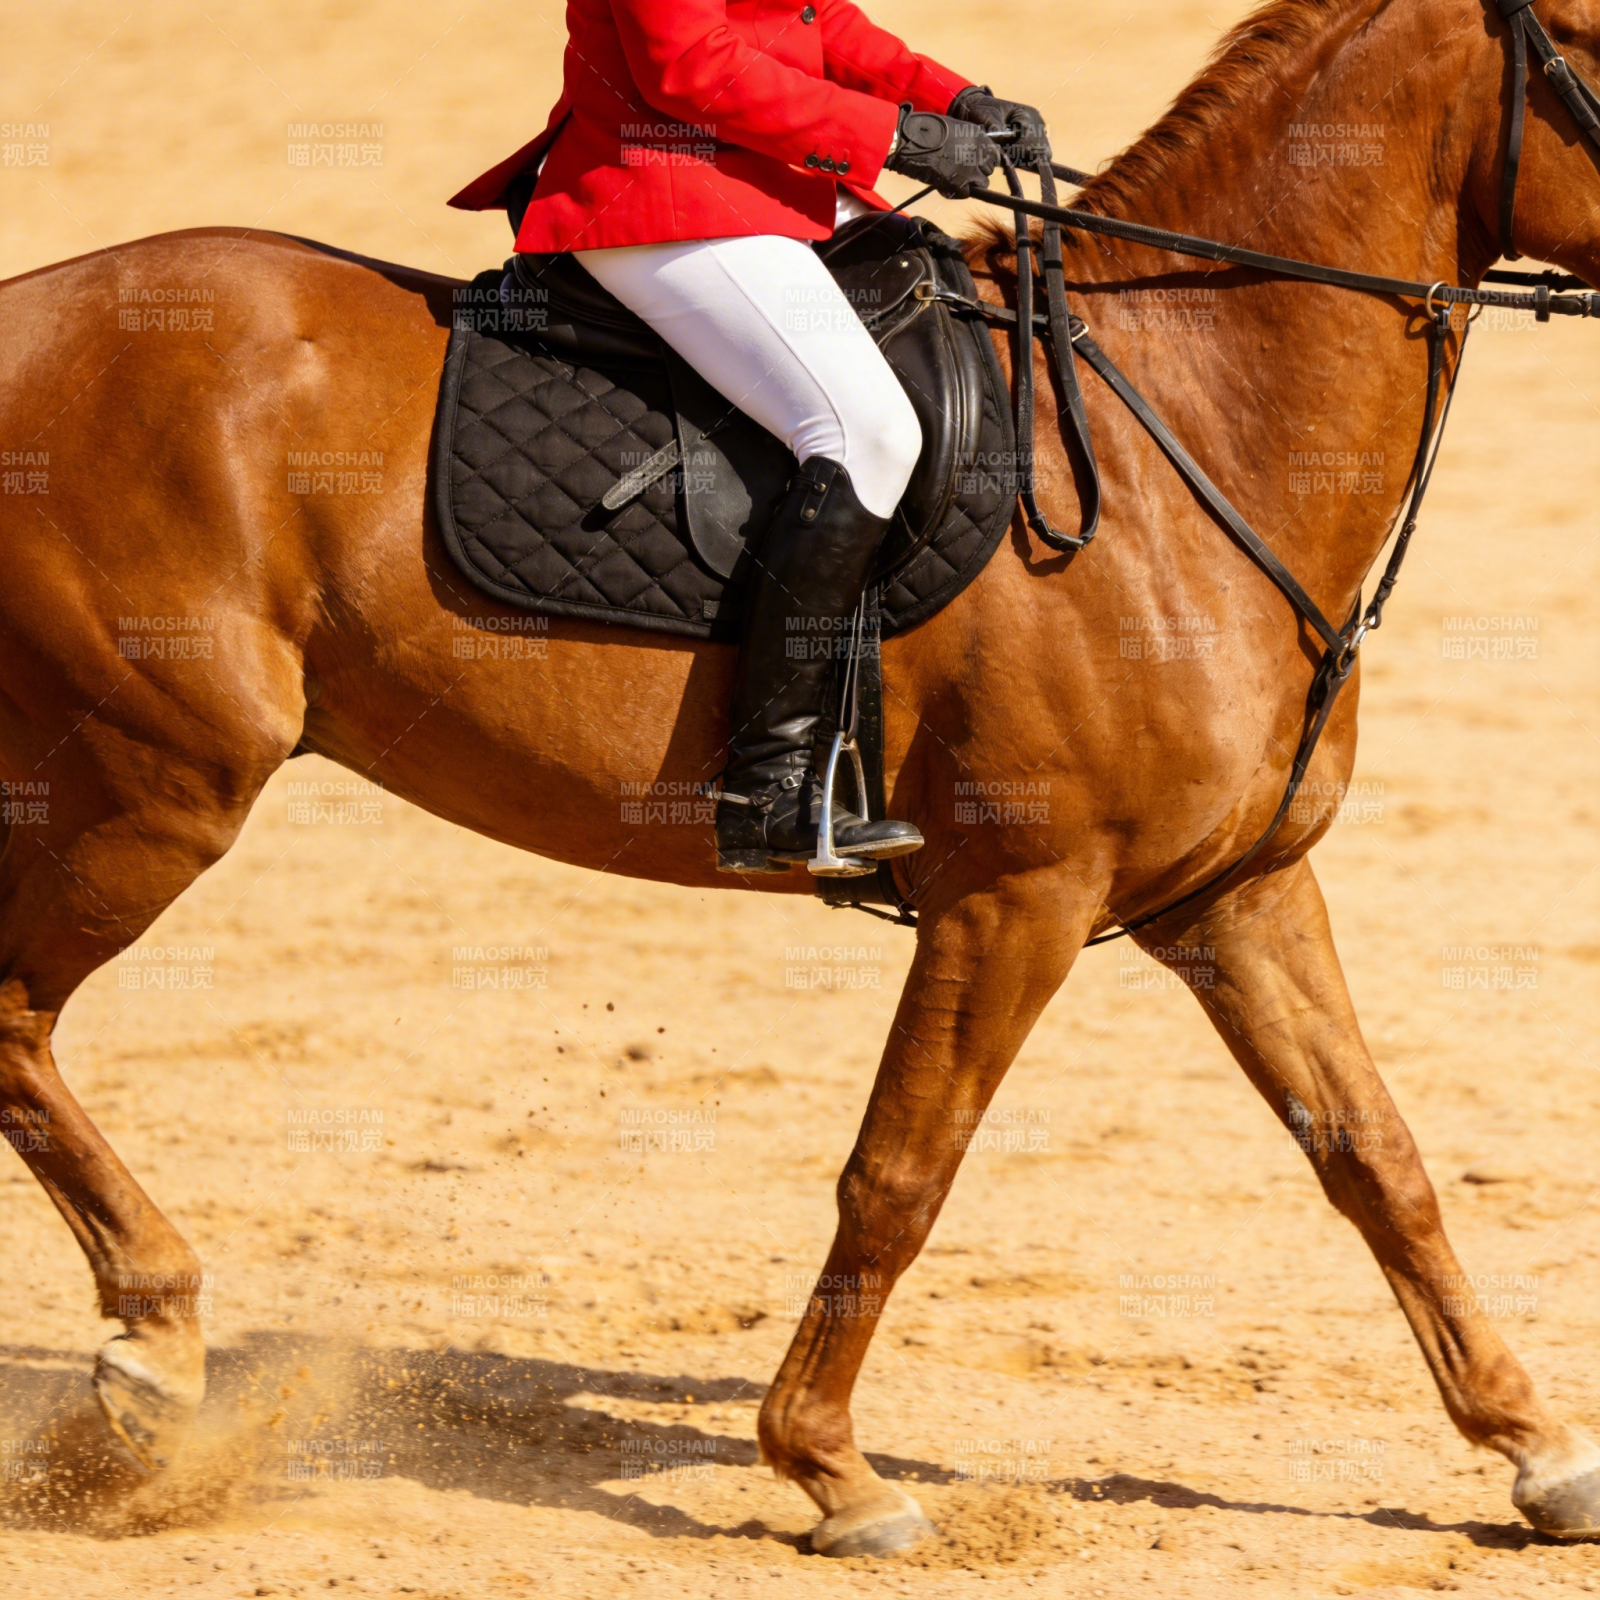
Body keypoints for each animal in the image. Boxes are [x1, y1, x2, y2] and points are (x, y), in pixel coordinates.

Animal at [0, 0, 1596, 1557]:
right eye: (1589, 46)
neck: (1184, 435)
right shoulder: (1015, 899)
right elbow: (900, 1173)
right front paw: (830, 1467)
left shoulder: (1238, 889)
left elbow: (1375, 1155)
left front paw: (1538, 1452)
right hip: (160, 786)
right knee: (18, 1019)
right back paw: (151, 1363)